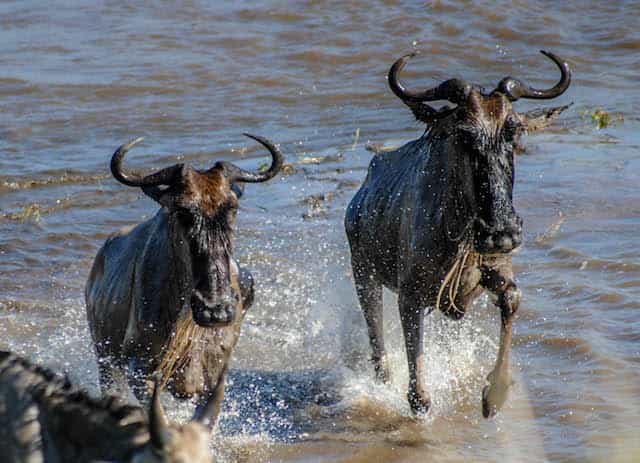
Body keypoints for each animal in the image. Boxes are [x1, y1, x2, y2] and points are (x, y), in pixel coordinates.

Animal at [86, 133, 283, 419]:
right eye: (182, 211)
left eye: (232, 208)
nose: (215, 310)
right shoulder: (139, 369)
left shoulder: (213, 378)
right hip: (105, 360)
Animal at [345, 51, 571, 417]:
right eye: (464, 135)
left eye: (515, 133)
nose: (501, 233)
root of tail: (361, 194)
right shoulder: (410, 295)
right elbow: (417, 381)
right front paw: (420, 399)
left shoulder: (493, 274)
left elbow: (512, 299)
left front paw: (494, 395)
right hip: (364, 273)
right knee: (376, 338)